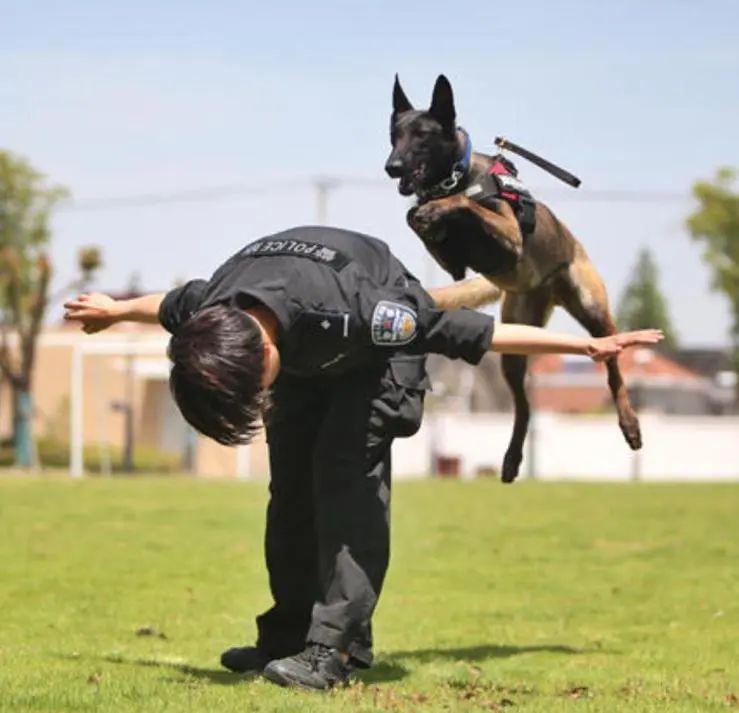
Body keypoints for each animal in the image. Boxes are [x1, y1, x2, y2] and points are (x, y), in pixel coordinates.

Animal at [388, 75, 640, 482]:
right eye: (394, 135)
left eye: (422, 135)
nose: (391, 166)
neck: (456, 177)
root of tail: (547, 291)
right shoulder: (453, 265)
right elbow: (416, 217)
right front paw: (427, 215)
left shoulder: (509, 236)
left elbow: (466, 203)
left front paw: (442, 207)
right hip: (514, 346)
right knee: (524, 407)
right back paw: (511, 459)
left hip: (592, 308)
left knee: (613, 366)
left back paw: (630, 423)